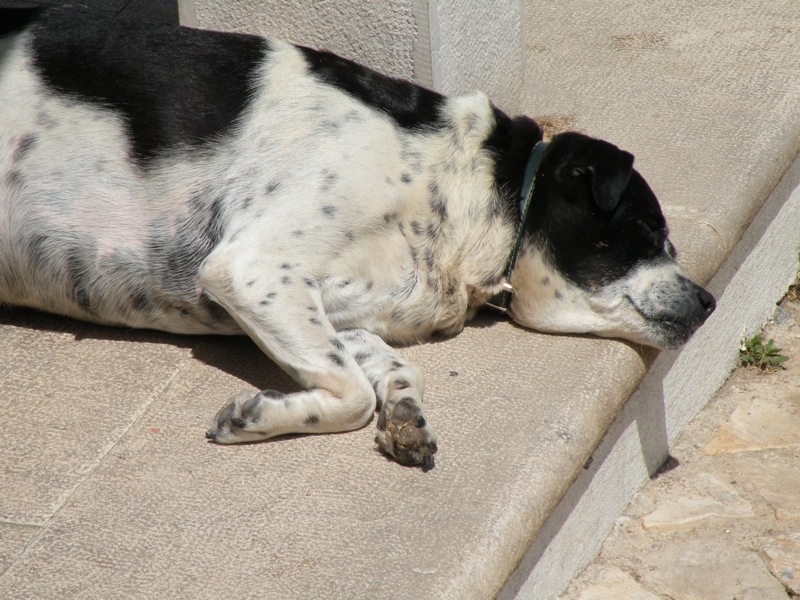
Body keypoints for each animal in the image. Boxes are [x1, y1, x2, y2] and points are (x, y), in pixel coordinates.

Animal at [0, 7, 712, 472]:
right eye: (649, 232)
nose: (708, 302)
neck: (468, 189)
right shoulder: (253, 268)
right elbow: (352, 395)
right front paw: (253, 417)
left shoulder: (331, 306)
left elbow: (388, 367)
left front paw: (406, 415)